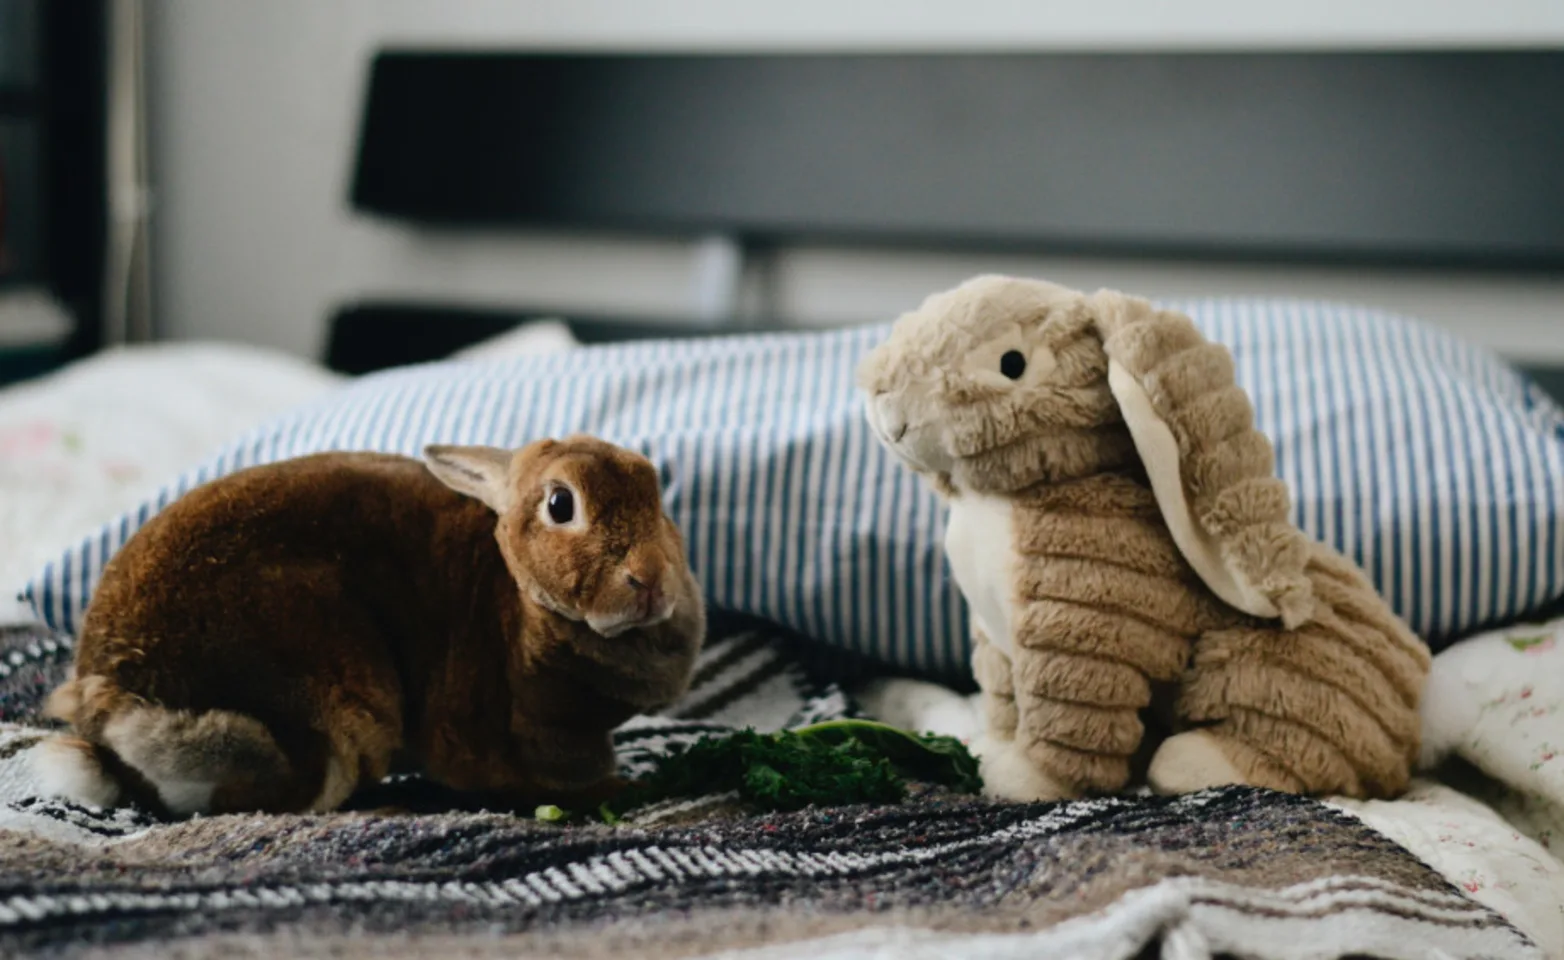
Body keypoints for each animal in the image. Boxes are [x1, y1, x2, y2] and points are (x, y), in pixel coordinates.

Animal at [32, 437, 703, 819]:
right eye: (562, 505)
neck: (519, 594)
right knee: (265, 804)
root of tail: (111, 701)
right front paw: (618, 788)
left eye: (655, 493)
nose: (650, 579)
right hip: (335, 700)